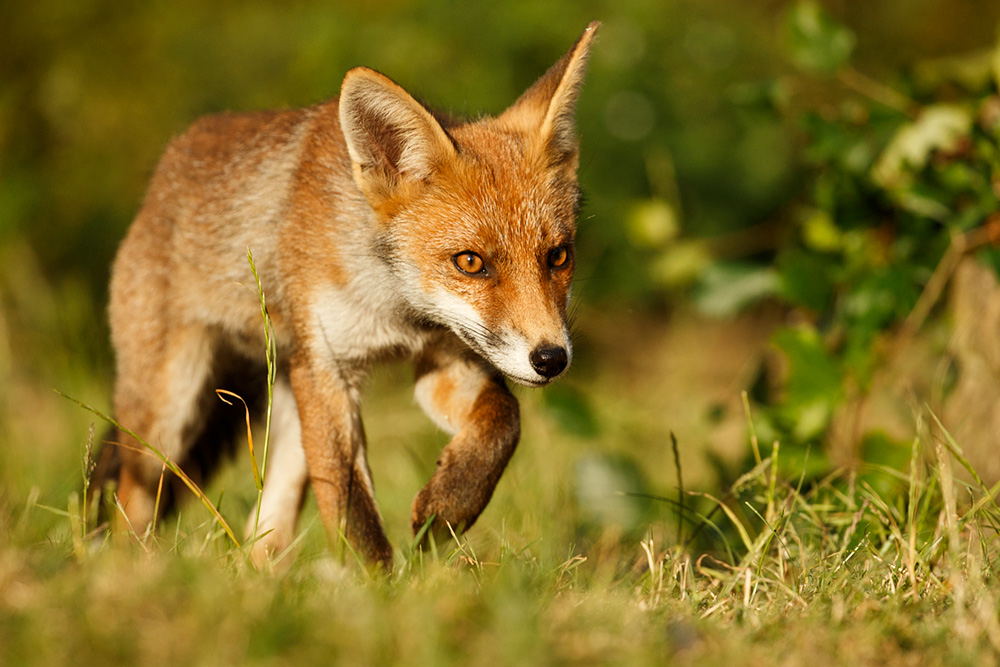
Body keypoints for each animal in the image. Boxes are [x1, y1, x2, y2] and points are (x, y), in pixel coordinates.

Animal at [93, 22, 599, 569]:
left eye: (558, 257)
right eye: (470, 262)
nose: (551, 359)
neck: (398, 311)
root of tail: (164, 171)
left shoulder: (445, 358)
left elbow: (503, 422)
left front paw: (447, 509)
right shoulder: (330, 369)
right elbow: (352, 508)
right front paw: (380, 584)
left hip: (291, 406)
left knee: (264, 533)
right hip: (170, 411)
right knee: (132, 499)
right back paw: (131, 571)